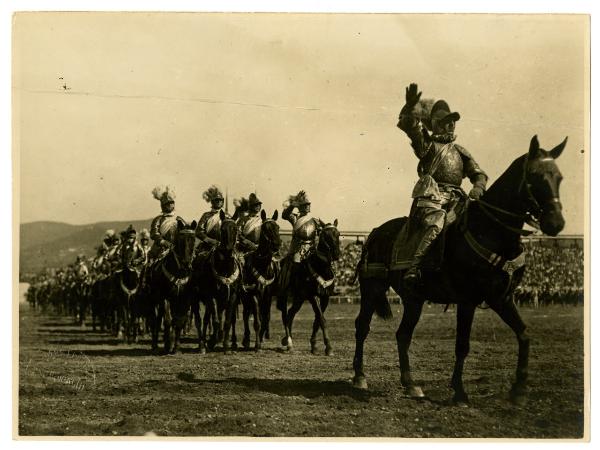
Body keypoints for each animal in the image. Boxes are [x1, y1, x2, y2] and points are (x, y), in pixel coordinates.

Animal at [145, 219, 197, 356]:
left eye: (193, 238)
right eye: (181, 239)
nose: (186, 264)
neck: (178, 271)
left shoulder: (183, 299)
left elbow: (179, 321)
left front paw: (176, 347)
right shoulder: (165, 298)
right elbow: (168, 320)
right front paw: (168, 345)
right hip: (153, 300)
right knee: (155, 321)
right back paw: (155, 346)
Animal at [190, 211, 241, 356]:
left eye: (236, 229)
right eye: (222, 229)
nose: (229, 251)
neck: (225, 268)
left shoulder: (232, 296)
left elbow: (227, 321)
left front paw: (226, 346)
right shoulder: (211, 296)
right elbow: (217, 321)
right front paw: (213, 342)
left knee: (207, 319)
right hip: (195, 299)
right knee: (199, 320)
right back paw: (202, 345)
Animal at [239, 210, 282, 352]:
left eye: (277, 227)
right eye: (265, 228)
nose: (277, 244)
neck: (261, 266)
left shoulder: (267, 296)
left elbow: (265, 317)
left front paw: (262, 339)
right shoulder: (254, 295)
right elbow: (257, 321)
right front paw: (257, 346)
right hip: (244, 297)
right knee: (245, 314)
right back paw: (246, 340)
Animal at [278, 220, 340, 356]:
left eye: (338, 233)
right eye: (325, 235)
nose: (336, 254)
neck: (320, 268)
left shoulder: (325, 297)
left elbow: (317, 320)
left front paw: (314, 345)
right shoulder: (313, 296)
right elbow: (322, 319)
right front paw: (329, 347)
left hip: (299, 298)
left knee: (290, 313)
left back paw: (288, 341)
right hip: (287, 296)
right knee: (285, 315)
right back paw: (288, 342)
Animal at [352, 135, 568, 406]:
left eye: (558, 177)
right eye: (534, 176)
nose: (556, 223)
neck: (489, 231)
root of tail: (374, 233)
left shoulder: (502, 299)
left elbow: (524, 334)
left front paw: (519, 389)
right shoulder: (467, 301)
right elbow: (462, 344)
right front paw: (460, 392)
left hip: (414, 299)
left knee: (403, 335)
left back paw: (411, 384)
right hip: (372, 289)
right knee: (363, 327)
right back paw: (359, 378)